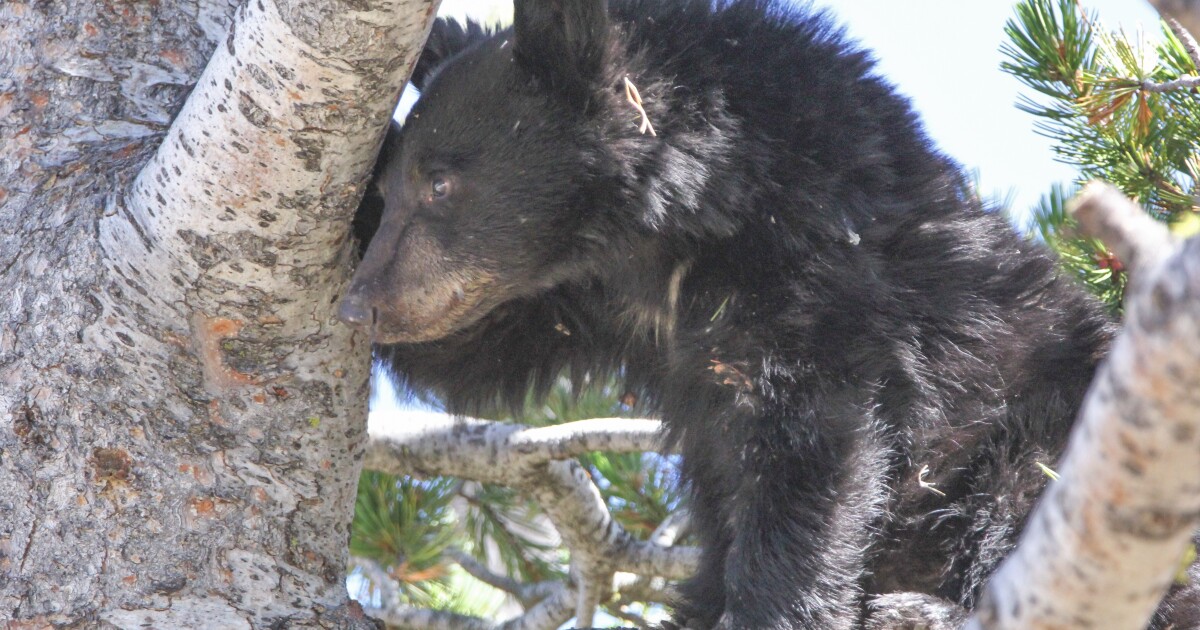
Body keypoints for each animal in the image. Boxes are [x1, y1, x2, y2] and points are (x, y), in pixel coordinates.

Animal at [338, 0, 1200, 627]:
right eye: (397, 182)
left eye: (442, 182)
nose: (360, 303)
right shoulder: (590, 304)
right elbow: (477, 348)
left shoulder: (818, 273)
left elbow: (814, 454)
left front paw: (779, 608)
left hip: (1053, 432)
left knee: (1024, 504)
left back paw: (916, 606)